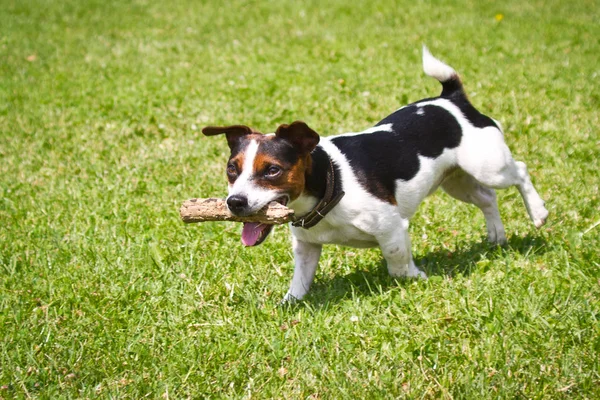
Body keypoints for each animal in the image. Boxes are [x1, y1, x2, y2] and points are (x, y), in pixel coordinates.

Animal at [202, 47, 548, 302]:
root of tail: (452, 100)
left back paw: (538, 212)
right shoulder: (307, 248)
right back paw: (496, 236)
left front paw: (415, 277)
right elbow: (299, 284)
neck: (331, 184)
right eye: (232, 169)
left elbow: (397, 265)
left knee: (520, 171)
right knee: (487, 199)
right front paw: (290, 303)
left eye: (272, 170)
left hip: (489, 166)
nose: (234, 202)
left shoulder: (392, 229)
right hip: (456, 181)